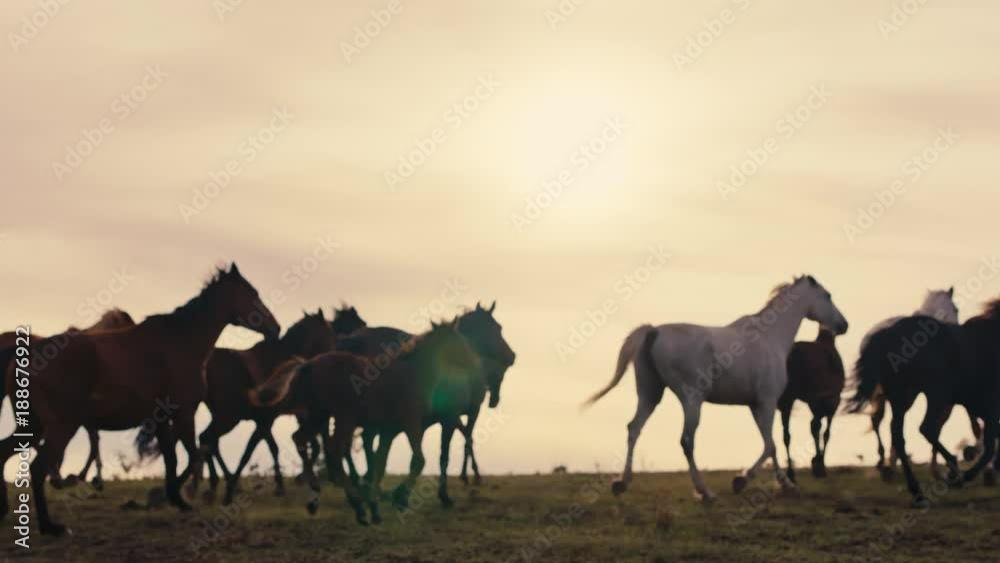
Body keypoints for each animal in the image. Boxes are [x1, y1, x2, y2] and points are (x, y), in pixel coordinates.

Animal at [249, 320, 483, 525]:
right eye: (459, 341)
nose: (475, 366)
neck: (413, 372)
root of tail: (308, 364)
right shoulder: (411, 423)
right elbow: (418, 460)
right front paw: (396, 499)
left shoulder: (389, 430)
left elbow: (379, 461)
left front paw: (378, 505)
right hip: (344, 417)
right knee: (334, 451)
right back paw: (357, 508)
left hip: (320, 415)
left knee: (300, 438)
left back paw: (316, 499)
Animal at [335, 301, 516, 506]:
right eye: (497, 328)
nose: (512, 356)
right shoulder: (455, 416)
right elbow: (449, 451)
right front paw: (449, 491)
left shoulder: (427, 420)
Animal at [779, 327, 844, 483]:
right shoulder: (831, 401)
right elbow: (825, 432)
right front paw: (818, 464)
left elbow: (817, 428)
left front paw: (816, 463)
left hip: (788, 398)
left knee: (786, 434)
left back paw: (791, 473)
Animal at [846, 300, 1000, 506]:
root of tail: (885, 335)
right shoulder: (989, 407)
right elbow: (989, 445)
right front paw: (965, 475)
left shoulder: (980, 408)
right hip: (935, 394)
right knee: (926, 428)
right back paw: (952, 475)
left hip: (904, 397)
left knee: (898, 434)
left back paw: (917, 491)